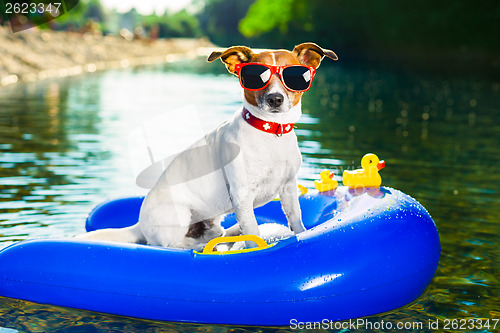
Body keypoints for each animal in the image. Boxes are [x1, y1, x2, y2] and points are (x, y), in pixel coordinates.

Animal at [76, 42, 338, 248]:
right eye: (255, 77)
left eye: (294, 77)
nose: (275, 99)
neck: (270, 133)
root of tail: (140, 224)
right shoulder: (243, 196)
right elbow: (253, 232)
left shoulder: (289, 188)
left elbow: (296, 220)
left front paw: (302, 236)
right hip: (178, 214)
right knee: (172, 245)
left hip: (211, 223)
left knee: (217, 234)